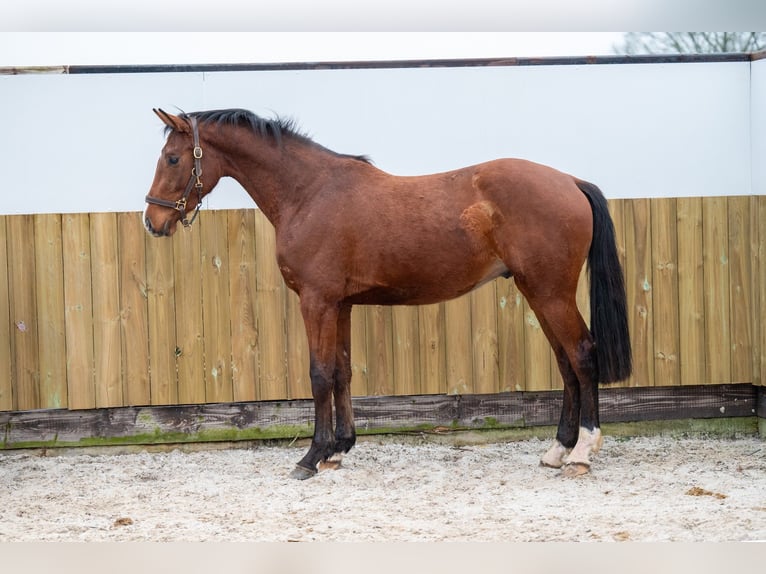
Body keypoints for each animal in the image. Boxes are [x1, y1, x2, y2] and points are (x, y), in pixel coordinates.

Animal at [146, 108, 636, 482]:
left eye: (172, 158)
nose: (153, 221)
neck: (310, 193)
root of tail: (570, 181)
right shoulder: (339, 304)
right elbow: (341, 373)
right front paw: (339, 449)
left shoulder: (316, 301)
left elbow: (319, 374)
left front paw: (310, 457)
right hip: (538, 292)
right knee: (566, 363)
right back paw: (557, 450)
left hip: (551, 293)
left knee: (583, 355)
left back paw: (582, 453)